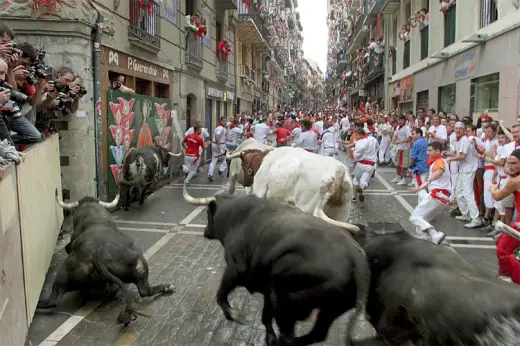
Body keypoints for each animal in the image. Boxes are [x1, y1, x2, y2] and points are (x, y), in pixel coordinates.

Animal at [36, 191, 176, 326]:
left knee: (53, 300)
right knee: (144, 291)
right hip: (139, 269)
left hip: (63, 275)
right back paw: (167, 287)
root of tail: (98, 253)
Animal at [183, 187, 370, 346]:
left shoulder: (235, 269)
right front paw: (269, 337)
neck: (234, 217)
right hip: (328, 309)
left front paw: (234, 315)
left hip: (286, 301)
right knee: (317, 334)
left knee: (289, 336)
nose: (205, 232)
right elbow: (265, 317)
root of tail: (357, 259)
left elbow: (221, 295)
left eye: (207, 213)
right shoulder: (267, 289)